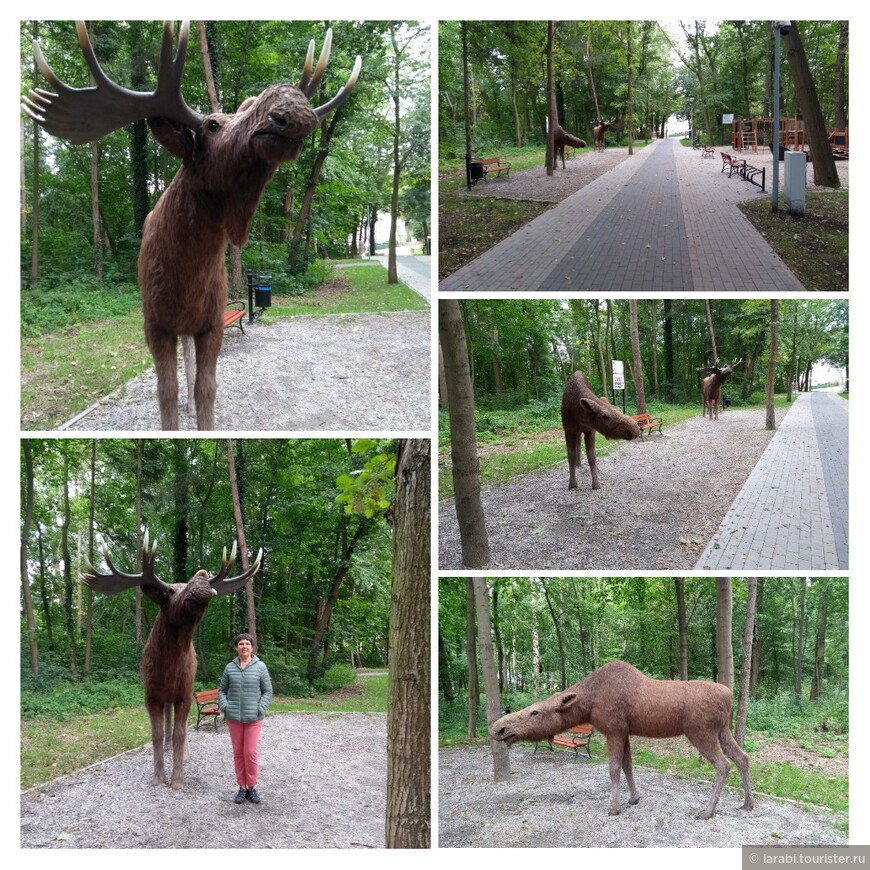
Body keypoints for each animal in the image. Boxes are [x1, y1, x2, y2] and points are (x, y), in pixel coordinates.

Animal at [23, 20, 362, 430]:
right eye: (213, 125)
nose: (290, 104)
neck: (185, 281)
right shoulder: (154, 325)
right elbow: (164, 393)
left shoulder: (212, 323)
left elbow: (207, 390)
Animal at [84, 532, 264, 792]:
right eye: (169, 590)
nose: (201, 579)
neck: (167, 672)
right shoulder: (150, 695)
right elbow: (156, 734)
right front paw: (158, 777)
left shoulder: (185, 694)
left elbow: (181, 732)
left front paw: (177, 778)